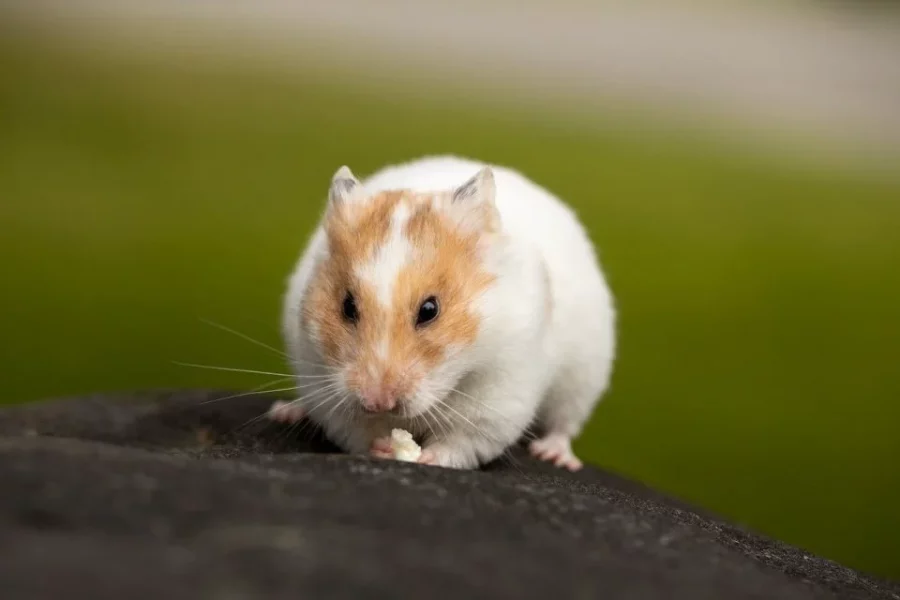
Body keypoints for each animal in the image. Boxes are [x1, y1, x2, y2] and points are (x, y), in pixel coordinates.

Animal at [277, 155, 616, 471]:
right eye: (347, 306)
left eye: (430, 310)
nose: (378, 402)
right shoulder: (323, 381)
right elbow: (357, 432)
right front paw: (384, 447)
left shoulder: (497, 398)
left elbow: (460, 442)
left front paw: (425, 457)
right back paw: (286, 412)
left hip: (584, 376)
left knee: (564, 423)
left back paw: (554, 455)